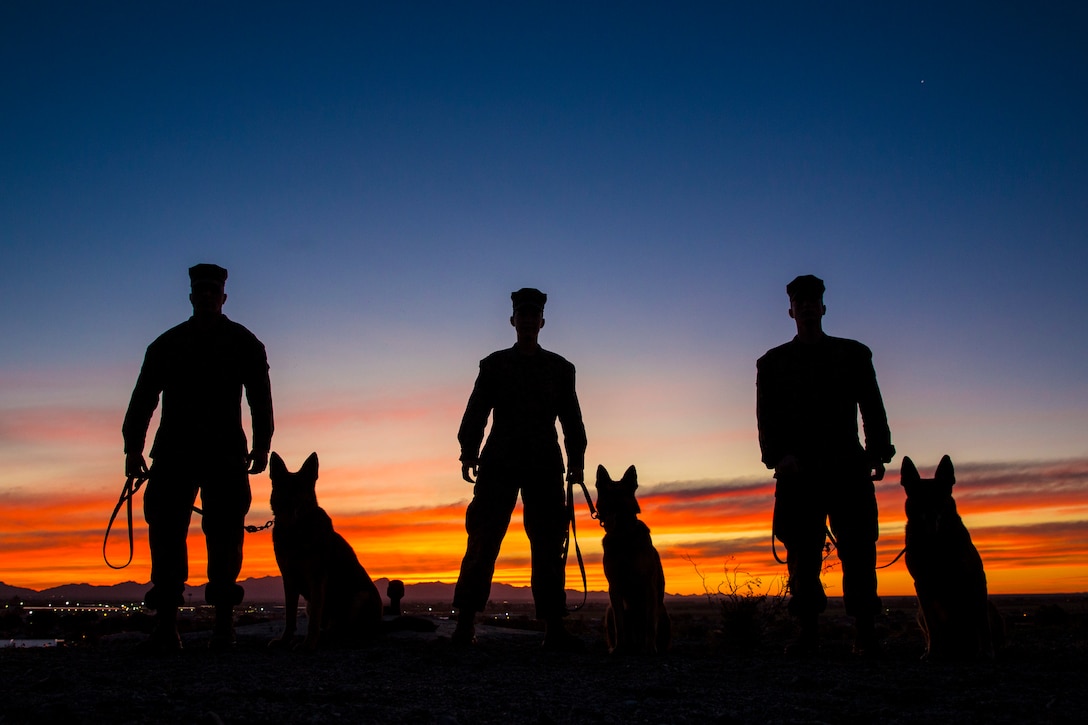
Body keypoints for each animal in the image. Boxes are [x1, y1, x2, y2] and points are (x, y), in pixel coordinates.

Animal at [266, 452, 382, 648]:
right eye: (283, 487)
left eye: (301, 488)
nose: (290, 507)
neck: (296, 531)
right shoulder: (289, 579)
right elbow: (290, 616)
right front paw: (285, 640)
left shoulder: (317, 579)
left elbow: (313, 620)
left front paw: (309, 643)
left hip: (360, 597)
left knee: (353, 631)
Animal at [596, 463, 670, 653]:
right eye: (604, 492)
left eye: (621, 494)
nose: (608, 505)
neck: (623, 536)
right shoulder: (614, 587)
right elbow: (620, 624)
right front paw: (619, 648)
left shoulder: (648, 586)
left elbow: (650, 625)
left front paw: (650, 648)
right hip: (609, 610)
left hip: (662, 611)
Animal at [900, 455, 1000, 657]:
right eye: (919, 498)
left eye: (940, 497)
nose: (931, 517)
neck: (936, 542)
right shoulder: (921, 584)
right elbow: (932, 625)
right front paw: (932, 652)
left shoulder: (976, 577)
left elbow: (981, 622)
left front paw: (987, 651)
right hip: (919, 613)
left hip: (988, 604)